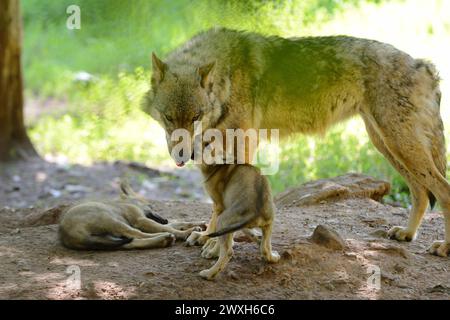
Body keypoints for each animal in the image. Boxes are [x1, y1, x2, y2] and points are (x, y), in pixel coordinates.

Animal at [142, 27, 448, 258]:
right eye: (169, 118)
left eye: (196, 116)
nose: (183, 155)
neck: (225, 80)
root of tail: (425, 65)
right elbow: (216, 205)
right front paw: (207, 236)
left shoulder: (243, 145)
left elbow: (225, 207)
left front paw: (215, 246)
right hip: (387, 145)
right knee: (421, 193)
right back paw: (407, 234)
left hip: (399, 145)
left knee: (442, 190)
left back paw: (443, 247)